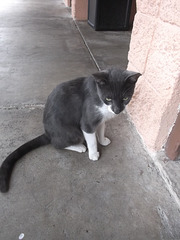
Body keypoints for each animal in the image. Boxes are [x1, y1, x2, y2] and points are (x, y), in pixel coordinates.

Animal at [0, 68, 141, 193]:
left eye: (125, 98)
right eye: (108, 98)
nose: (117, 110)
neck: (99, 98)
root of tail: (48, 134)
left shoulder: (101, 119)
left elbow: (101, 129)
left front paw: (103, 140)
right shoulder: (87, 120)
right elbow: (92, 140)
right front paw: (93, 154)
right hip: (73, 132)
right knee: (57, 144)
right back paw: (79, 147)